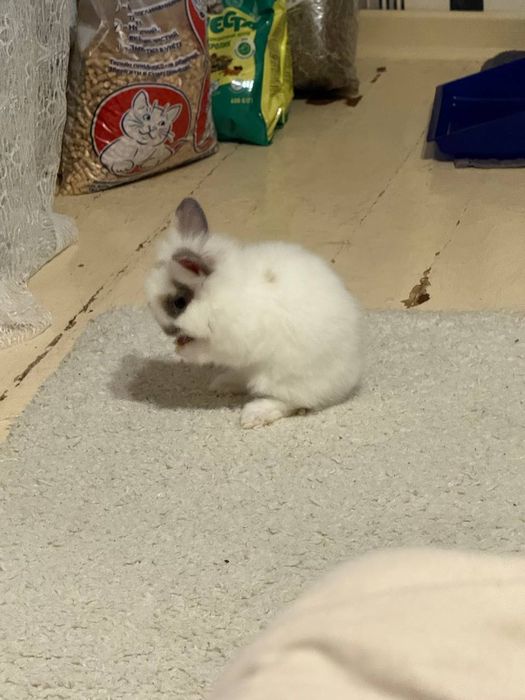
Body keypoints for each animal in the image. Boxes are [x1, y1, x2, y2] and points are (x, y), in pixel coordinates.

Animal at [146, 197, 362, 429]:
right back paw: (222, 383)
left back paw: (253, 415)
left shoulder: (230, 341)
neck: (216, 295)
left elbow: (206, 349)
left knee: (293, 402)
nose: (165, 330)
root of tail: (350, 376)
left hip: (284, 378)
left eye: (179, 302)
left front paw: (182, 350)